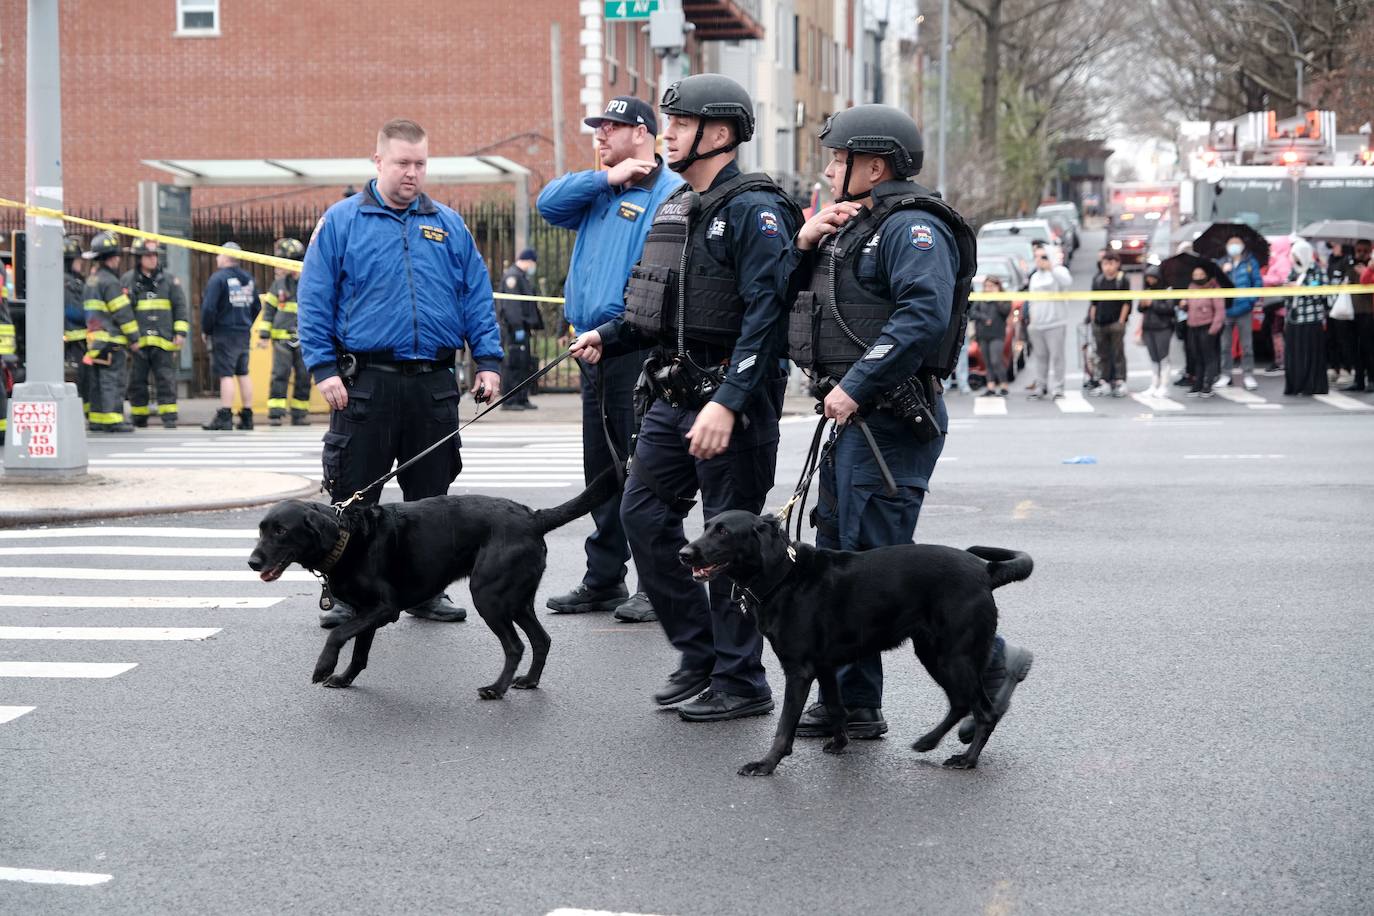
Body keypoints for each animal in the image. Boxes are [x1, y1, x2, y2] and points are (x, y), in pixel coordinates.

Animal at [248, 472, 618, 703]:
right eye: (261, 529)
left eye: (281, 531)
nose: (251, 562)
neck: (348, 536)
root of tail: (533, 516)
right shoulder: (366, 611)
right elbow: (359, 652)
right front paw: (344, 678)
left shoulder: (384, 608)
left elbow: (338, 635)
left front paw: (324, 666)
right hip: (517, 600)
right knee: (542, 639)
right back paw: (528, 681)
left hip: (489, 598)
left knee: (515, 646)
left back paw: (496, 689)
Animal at [676, 513, 1033, 780]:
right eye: (706, 527)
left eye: (723, 531)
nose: (683, 554)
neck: (783, 575)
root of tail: (985, 570)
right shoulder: (824, 666)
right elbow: (836, 708)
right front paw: (840, 743)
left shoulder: (799, 670)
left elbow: (784, 725)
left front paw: (766, 763)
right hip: (933, 652)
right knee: (961, 702)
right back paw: (928, 742)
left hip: (953, 656)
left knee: (984, 710)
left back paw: (967, 759)